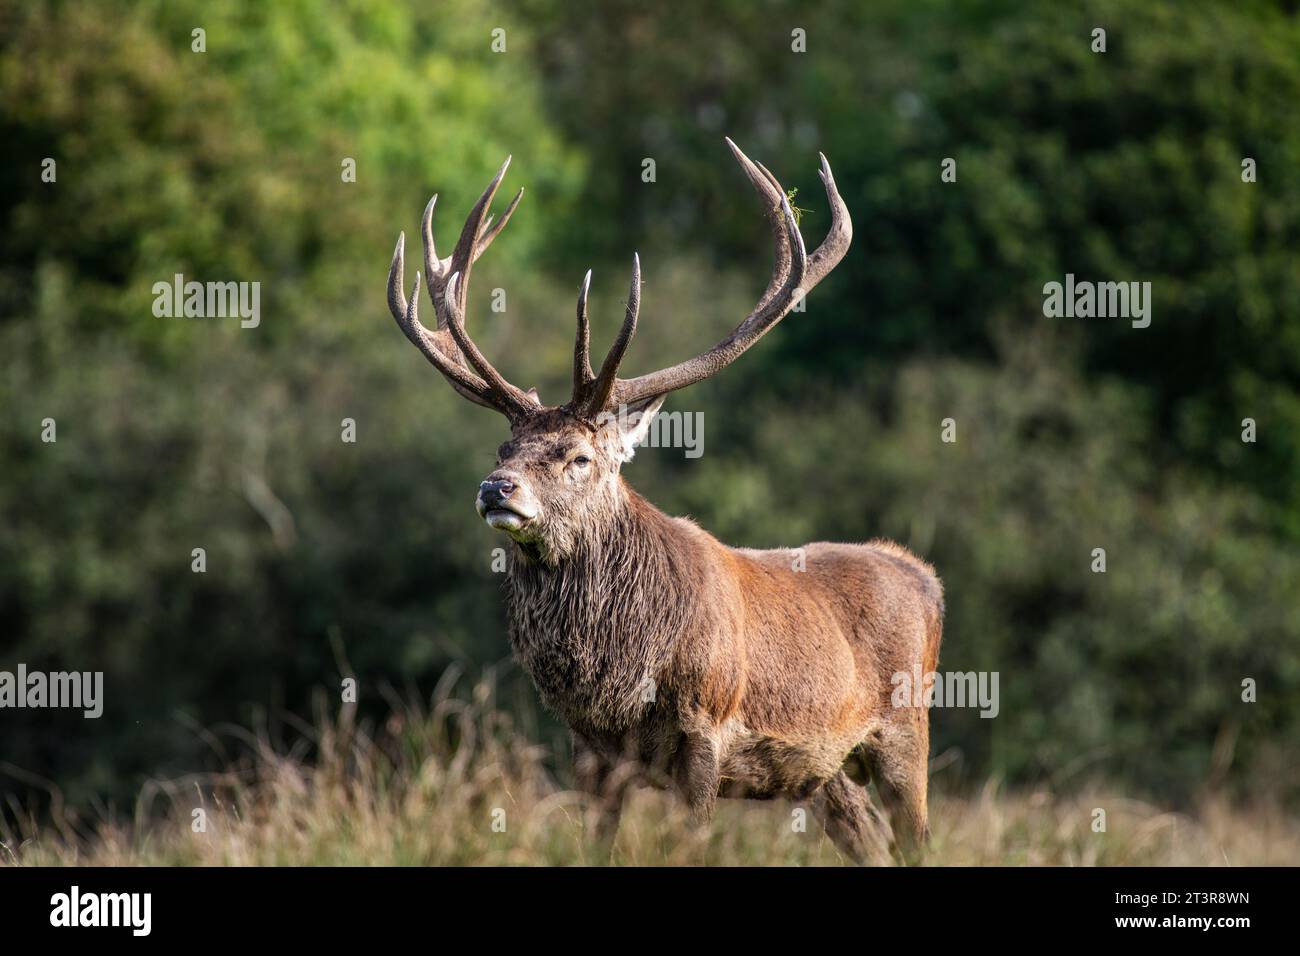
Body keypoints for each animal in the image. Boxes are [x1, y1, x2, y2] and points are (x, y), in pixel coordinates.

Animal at [384, 139, 944, 864]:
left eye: (579, 457)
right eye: (504, 448)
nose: (495, 488)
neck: (621, 680)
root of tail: (925, 577)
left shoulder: (706, 728)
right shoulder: (589, 749)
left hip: (906, 729)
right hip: (828, 773)